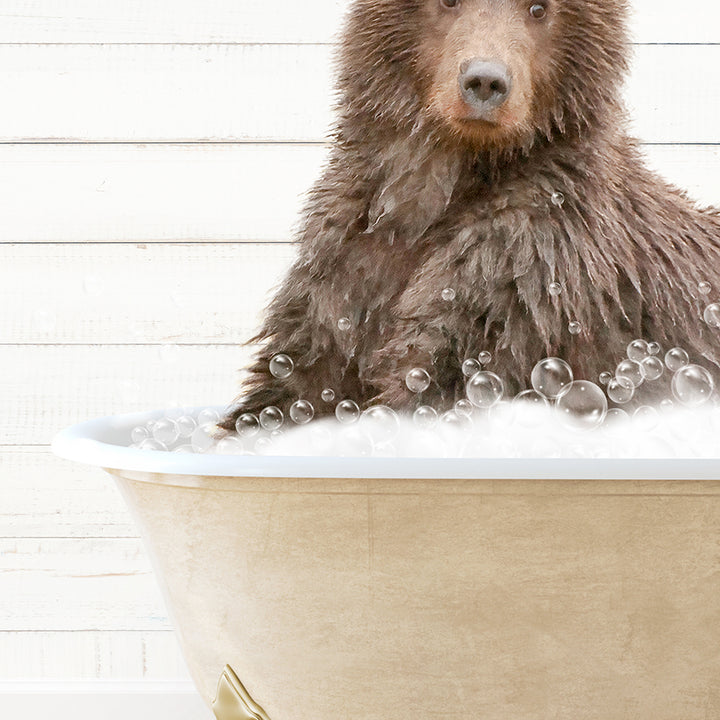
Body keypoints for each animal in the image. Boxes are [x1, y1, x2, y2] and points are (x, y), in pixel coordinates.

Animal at [217, 0, 720, 430]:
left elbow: (440, 372)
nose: (484, 82)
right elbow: (291, 386)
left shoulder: (524, 272)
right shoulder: (347, 268)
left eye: (539, 8)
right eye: (448, 1)